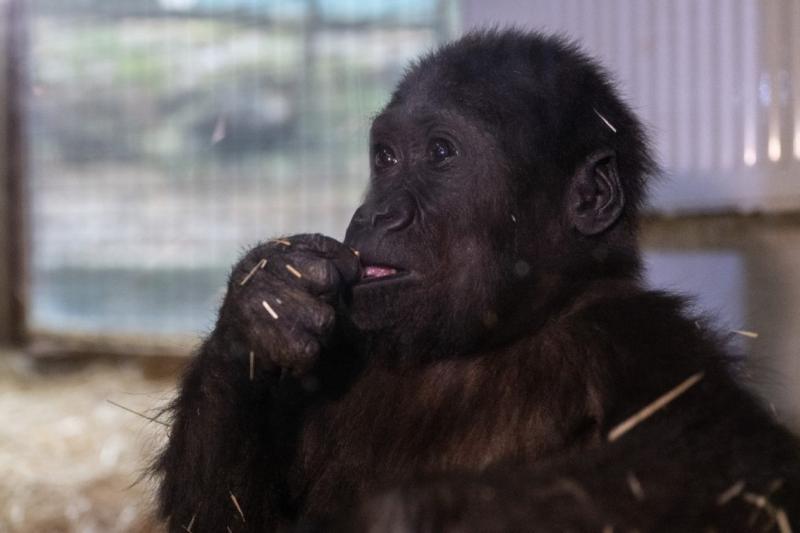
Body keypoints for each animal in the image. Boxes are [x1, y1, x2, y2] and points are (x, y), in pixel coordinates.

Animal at [153, 30, 796, 532]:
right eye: (386, 158)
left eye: (441, 153)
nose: (378, 212)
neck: (483, 341)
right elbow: (225, 517)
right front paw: (262, 303)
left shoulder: (638, 336)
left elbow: (723, 470)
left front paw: (409, 517)